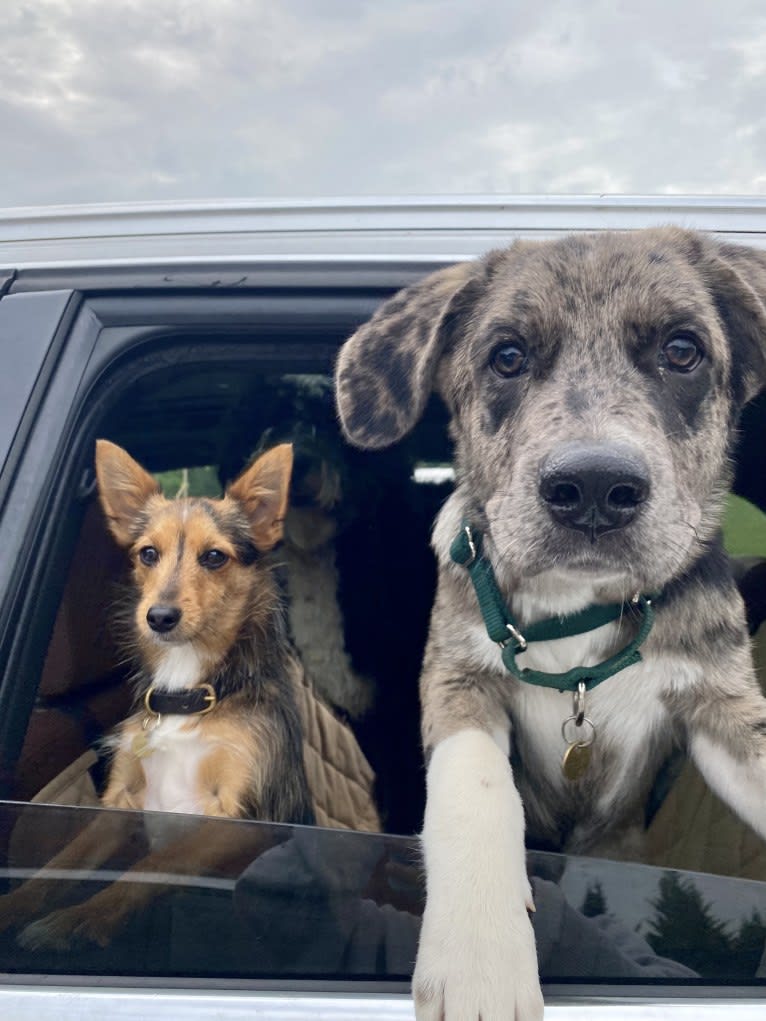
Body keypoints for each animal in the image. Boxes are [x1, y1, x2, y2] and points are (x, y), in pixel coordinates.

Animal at [339, 231, 766, 1021]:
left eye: (682, 350)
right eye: (507, 356)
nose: (595, 486)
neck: (580, 605)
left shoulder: (721, 700)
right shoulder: (457, 676)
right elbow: (475, 793)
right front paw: (478, 961)